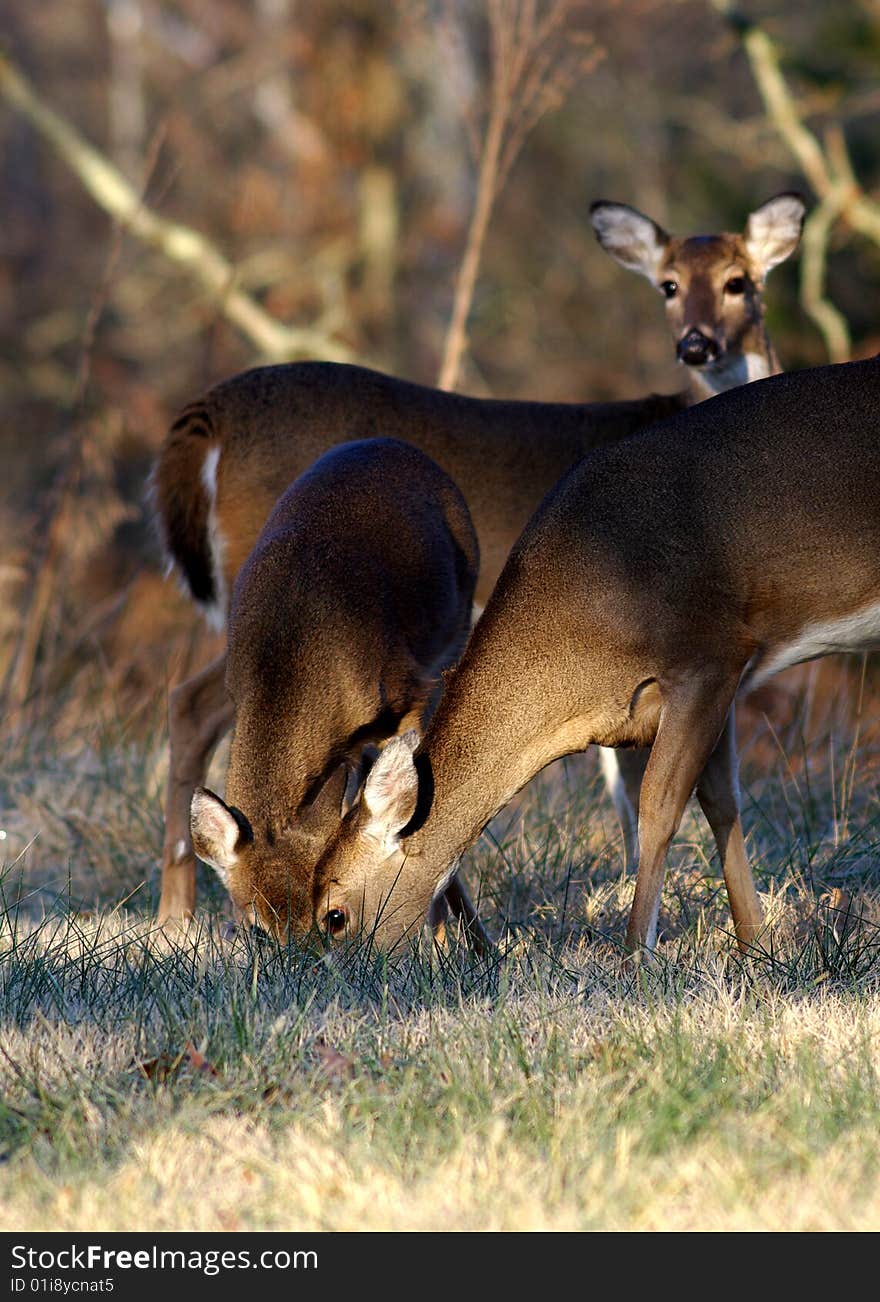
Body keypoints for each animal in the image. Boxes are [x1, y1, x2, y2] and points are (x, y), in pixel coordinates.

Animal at [187, 437, 486, 947]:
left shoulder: (408, 695)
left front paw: (438, 941)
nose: (302, 960)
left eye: (325, 916)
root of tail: (389, 444)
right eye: (258, 930)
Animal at [304, 356, 880, 958]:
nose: (340, 973)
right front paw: (754, 946)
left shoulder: (708, 655)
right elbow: (722, 801)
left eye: (334, 916)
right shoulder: (727, 676)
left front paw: (634, 958)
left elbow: (658, 808)